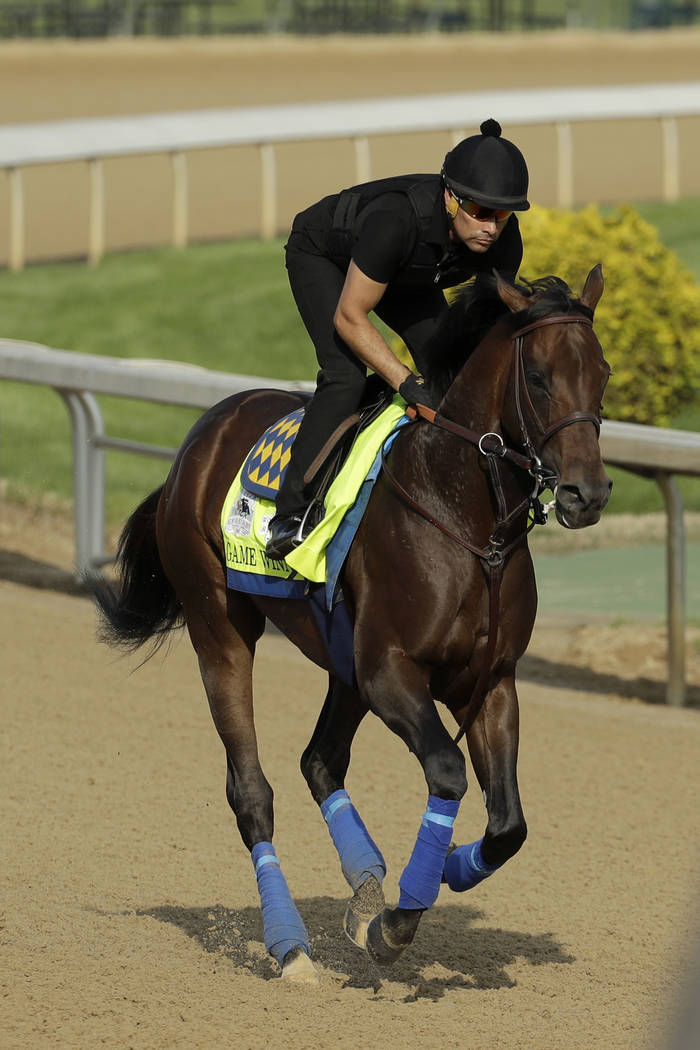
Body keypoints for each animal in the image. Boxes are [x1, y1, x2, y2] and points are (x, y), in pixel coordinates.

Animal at [94, 264, 612, 982]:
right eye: (537, 376)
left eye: (604, 373)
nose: (585, 495)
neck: (465, 519)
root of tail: (202, 433)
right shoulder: (390, 669)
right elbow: (447, 770)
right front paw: (397, 921)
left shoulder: (490, 681)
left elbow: (509, 823)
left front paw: (444, 873)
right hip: (219, 628)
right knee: (252, 791)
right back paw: (290, 945)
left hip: (343, 663)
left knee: (320, 761)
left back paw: (365, 881)